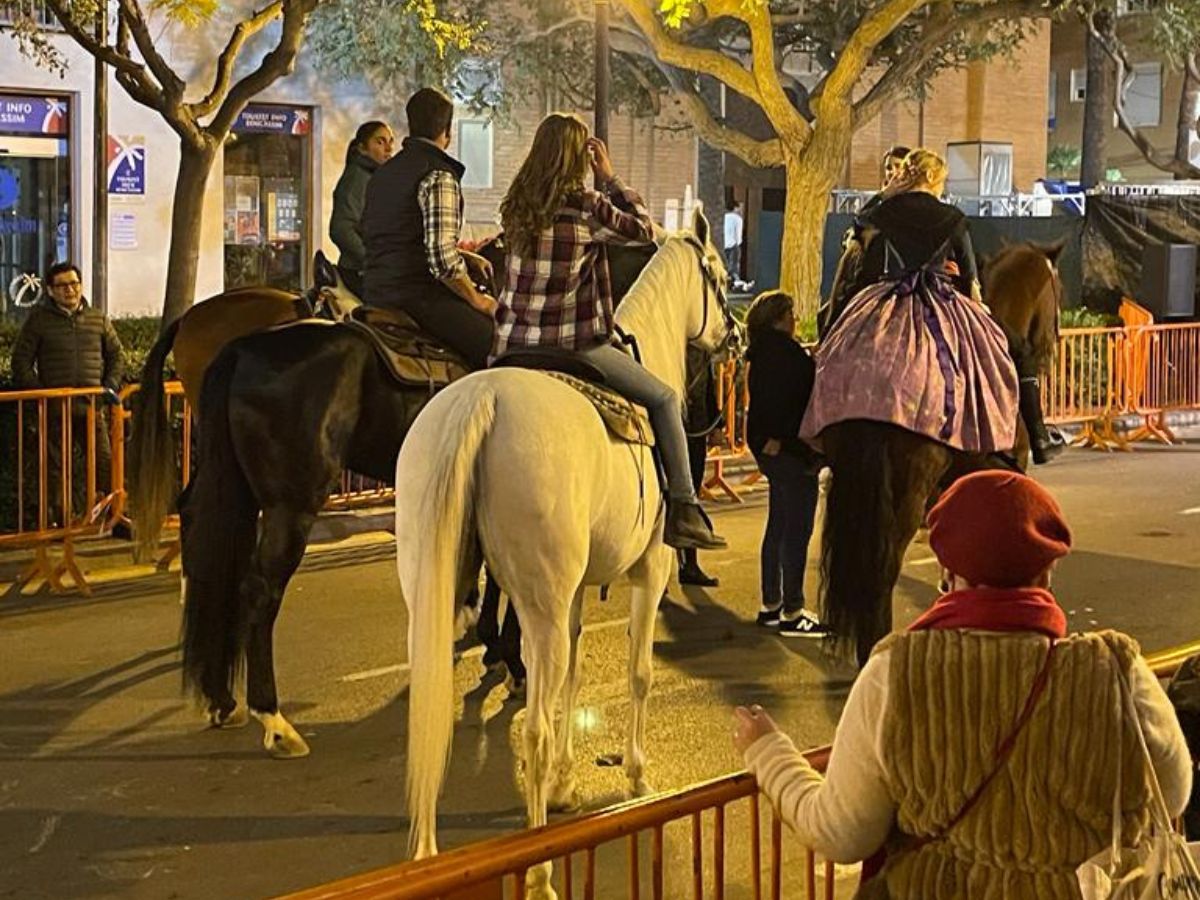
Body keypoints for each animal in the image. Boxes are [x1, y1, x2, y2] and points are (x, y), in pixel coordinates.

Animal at [393, 211, 729, 897]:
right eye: (719, 273)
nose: (736, 333)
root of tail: (482, 402)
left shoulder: (572, 596)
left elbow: (573, 675)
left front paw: (568, 785)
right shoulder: (649, 572)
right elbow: (638, 673)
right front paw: (636, 773)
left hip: (438, 593)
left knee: (431, 717)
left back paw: (430, 861)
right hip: (538, 607)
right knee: (534, 729)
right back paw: (542, 871)